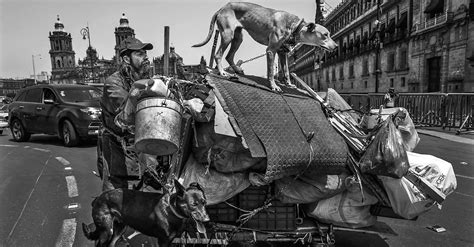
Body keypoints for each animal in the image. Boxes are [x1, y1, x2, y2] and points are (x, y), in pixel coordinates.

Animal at [193, 1, 336, 91]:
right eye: (325, 35)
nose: (336, 46)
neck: (295, 27)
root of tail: (223, 7)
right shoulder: (271, 51)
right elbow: (271, 72)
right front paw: (274, 86)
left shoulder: (282, 53)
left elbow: (286, 72)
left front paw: (289, 84)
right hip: (228, 35)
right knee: (218, 54)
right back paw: (222, 72)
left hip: (238, 38)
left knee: (229, 56)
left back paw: (236, 69)